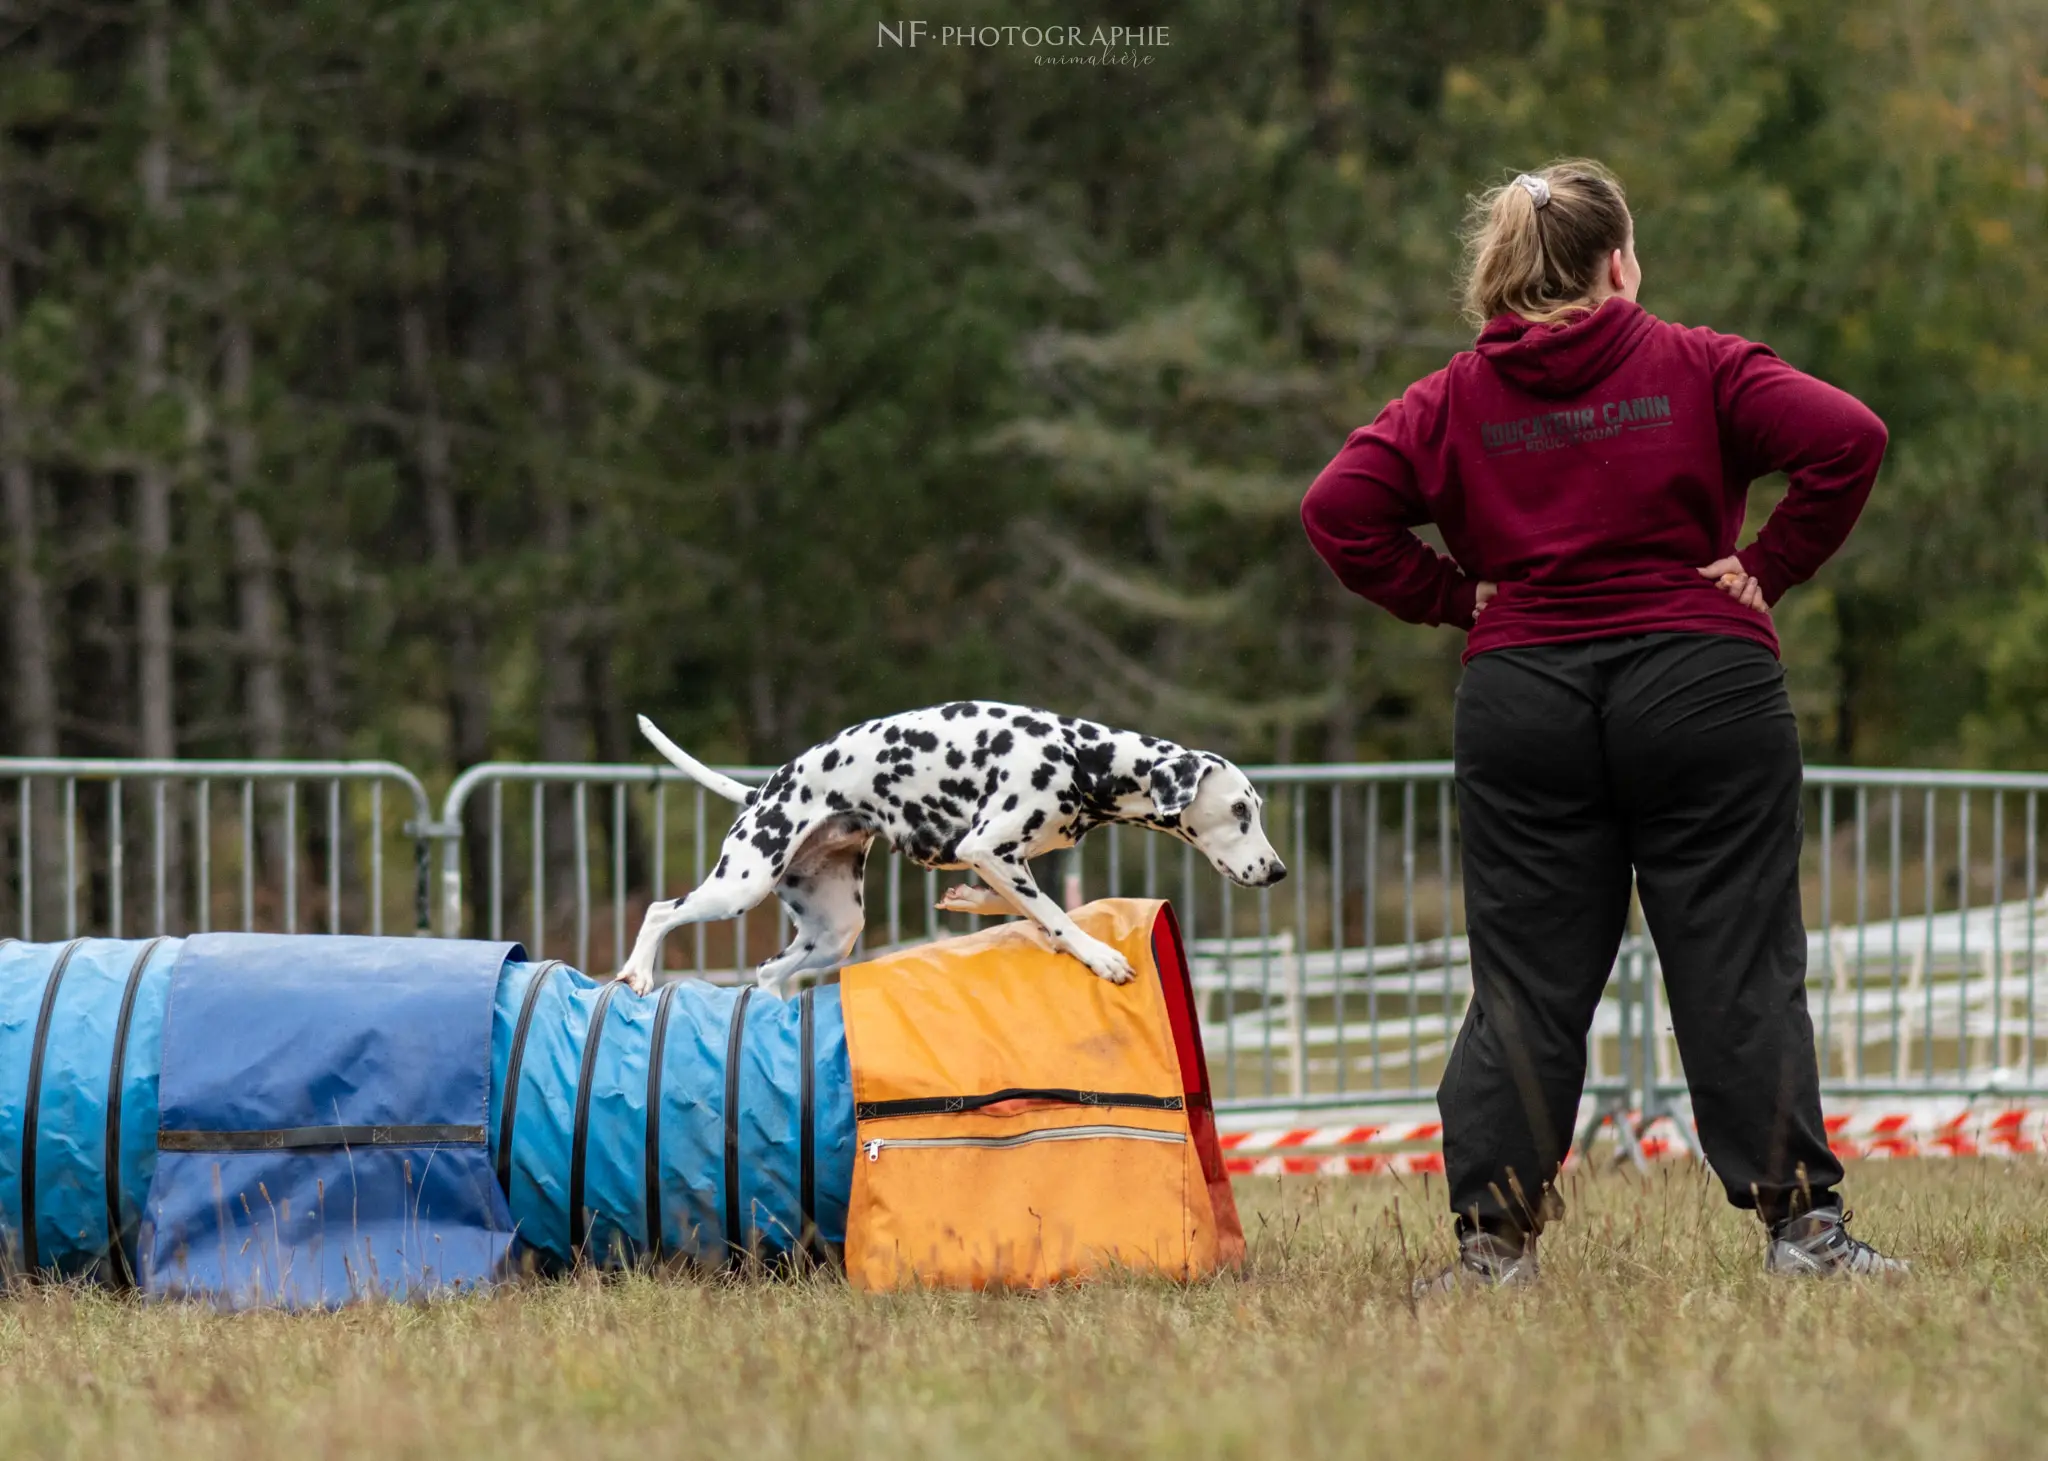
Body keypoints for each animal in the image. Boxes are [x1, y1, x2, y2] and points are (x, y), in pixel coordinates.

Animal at [610, 700, 1277, 995]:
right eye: (1240, 810)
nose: (1277, 871)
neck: (1080, 757)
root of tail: (762, 790)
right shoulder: (990, 845)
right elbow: (1057, 916)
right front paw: (1100, 956)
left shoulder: (1001, 858)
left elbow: (1027, 904)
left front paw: (967, 900)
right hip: (740, 883)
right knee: (661, 911)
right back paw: (637, 973)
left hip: (836, 930)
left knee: (770, 970)